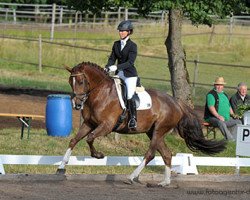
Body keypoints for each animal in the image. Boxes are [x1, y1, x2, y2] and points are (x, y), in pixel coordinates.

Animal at [57, 61, 227, 186]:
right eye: (70, 81)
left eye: (80, 81)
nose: (76, 104)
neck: (100, 93)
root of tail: (176, 102)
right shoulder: (88, 123)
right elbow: (74, 140)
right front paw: (60, 168)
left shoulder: (106, 126)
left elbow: (90, 138)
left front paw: (98, 155)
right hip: (153, 132)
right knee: (166, 154)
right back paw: (164, 182)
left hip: (159, 130)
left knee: (150, 154)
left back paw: (132, 177)